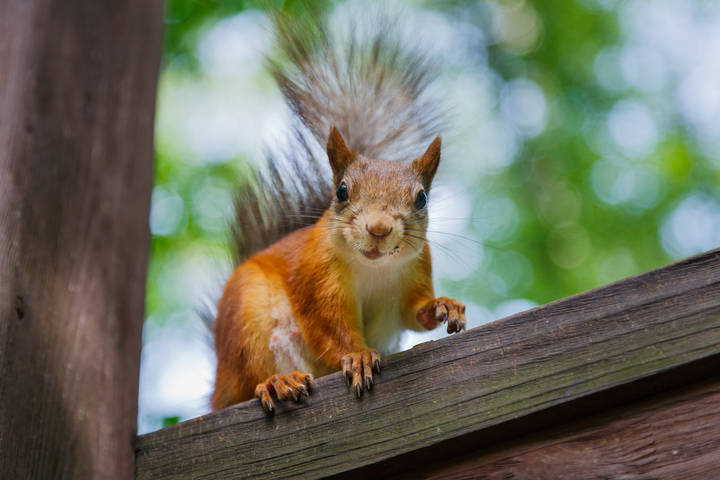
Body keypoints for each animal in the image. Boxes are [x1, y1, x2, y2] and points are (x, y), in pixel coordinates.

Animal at [210, 6, 467, 413]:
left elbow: (413, 312)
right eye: (342, 191)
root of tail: (219, 387)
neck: (372, 268)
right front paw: (359, 355)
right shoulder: (317, 279)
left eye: (422, 198)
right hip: (246, 320)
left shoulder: (415, 271)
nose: (378, 229)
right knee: (251, 377)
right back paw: (277, 382)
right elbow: (331, 329)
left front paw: (444, 306)